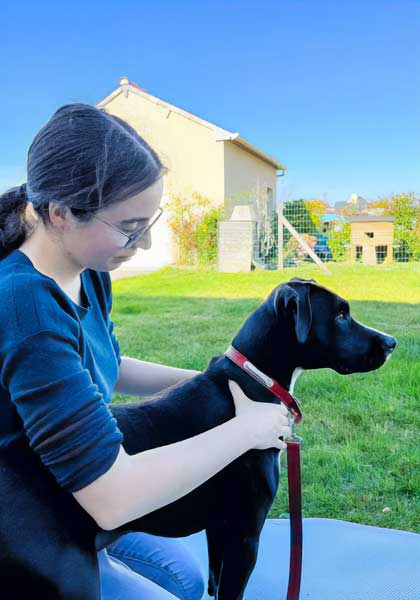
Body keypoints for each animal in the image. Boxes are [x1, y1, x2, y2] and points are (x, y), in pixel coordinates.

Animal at [0, 278, 396, 596]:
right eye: (341, 315)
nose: (391, 342)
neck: (254, 380)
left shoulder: (219, 530)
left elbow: (214, 583)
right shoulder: (244, 534)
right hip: (72, 578)